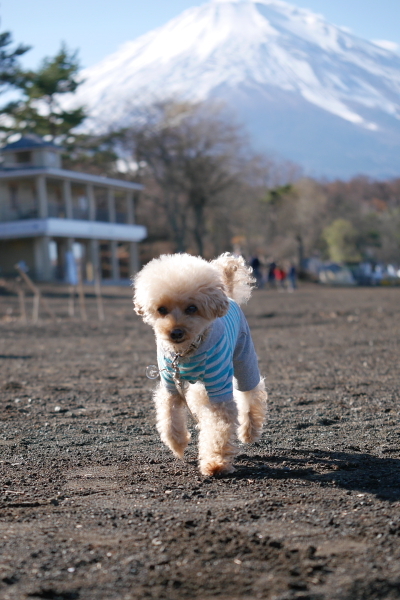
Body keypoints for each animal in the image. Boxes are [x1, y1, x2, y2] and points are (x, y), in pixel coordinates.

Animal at [133, 251, 268, 476]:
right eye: (161, 309)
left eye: (192, 308)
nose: (175, 332)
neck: (186, 352)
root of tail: (229, 296)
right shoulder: (171, 383)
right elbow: (169, 417)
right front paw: (178, 444)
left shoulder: (219, 384)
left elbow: (218, 426)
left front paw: (216, 462)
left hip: (244, 355)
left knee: (250, 392)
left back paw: (249, 431)